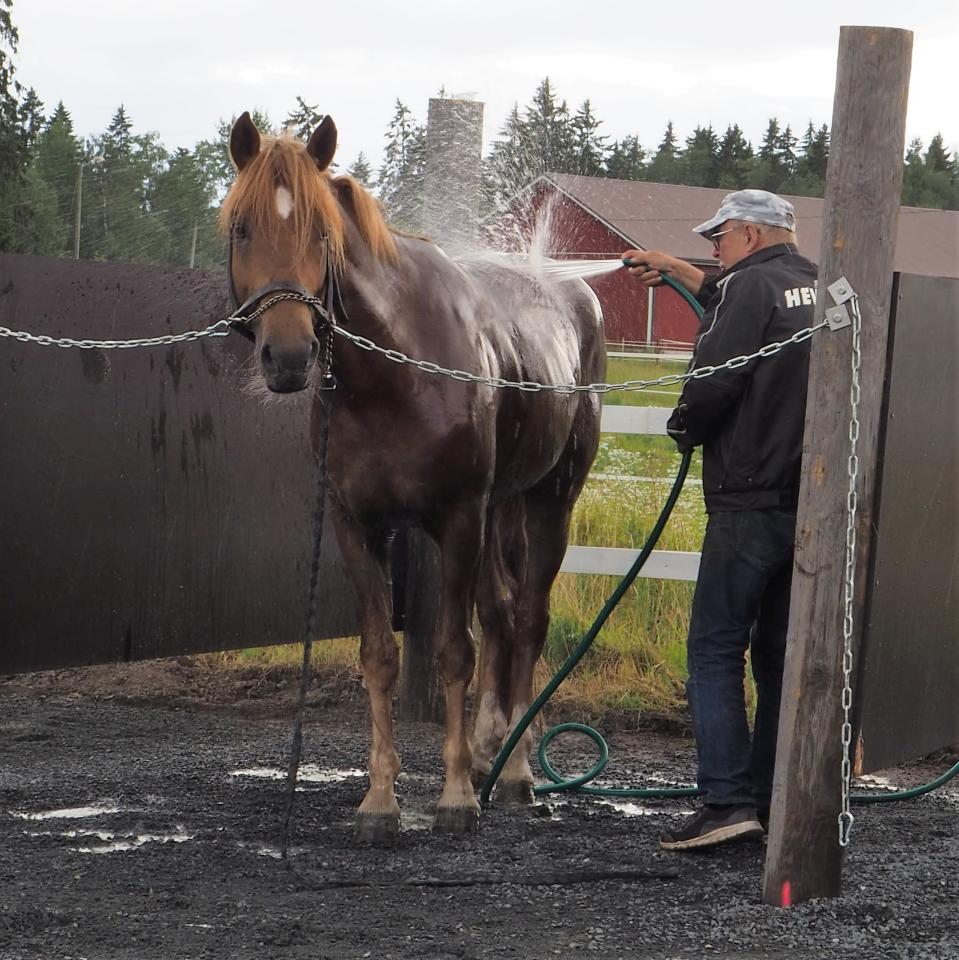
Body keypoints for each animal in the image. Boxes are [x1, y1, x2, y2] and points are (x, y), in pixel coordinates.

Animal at [221, 112, 604, 840]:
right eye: (241, 227)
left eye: (322, 232)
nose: (289, 355)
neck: (393, 369)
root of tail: (570, 287)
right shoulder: (356, 525)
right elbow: (379, 656)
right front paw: (380, 800)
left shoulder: (456, 516)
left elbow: (454, 649)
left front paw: (454, 798)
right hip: (501, 506)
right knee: (502, 612)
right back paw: (490, 749)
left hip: (550, 500)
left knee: (528, 620)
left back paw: (516, 772)